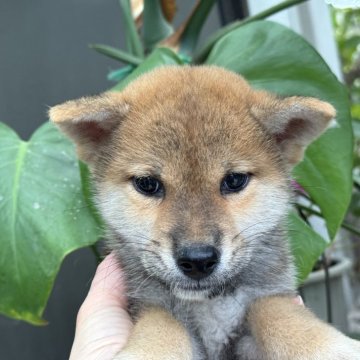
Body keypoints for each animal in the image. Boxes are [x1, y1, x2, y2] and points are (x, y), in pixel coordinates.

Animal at [50, 66, 360, 358]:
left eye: (234, 180)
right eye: (148, 184)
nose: (197, 260)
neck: (211, 306)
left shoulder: (265, 297)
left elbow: (278, 312)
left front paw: (329, 348)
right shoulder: (149, 303)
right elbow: (161, 326)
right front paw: (148, 352)